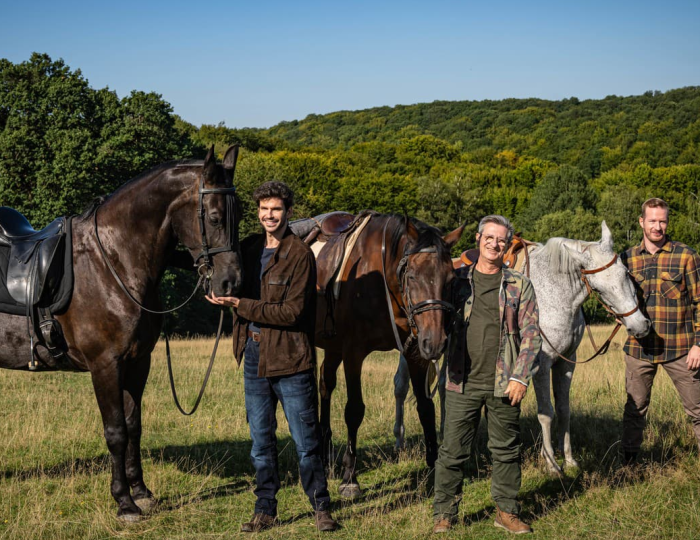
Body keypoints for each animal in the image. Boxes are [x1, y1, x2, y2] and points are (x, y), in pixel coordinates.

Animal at [0, 146, 243, 520]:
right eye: (215, 217)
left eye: (241, 214)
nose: (230, 283)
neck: (113, 261)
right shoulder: (106, 365)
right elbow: (115, 431)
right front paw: (124, 502)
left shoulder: (138, 362)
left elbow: (134, 426)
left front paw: (141, 491)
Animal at [314, 212, 464, 498]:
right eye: (412, 276)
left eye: (451, 278)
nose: (437, 342)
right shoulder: (353, 352)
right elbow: (354, 410)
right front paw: (350, 477)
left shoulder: (415, 350)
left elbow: (425, 407)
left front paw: (433, 462)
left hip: (332, 346)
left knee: (325, 384)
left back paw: (325, 452)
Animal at [394, 221, 652, 474]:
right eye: (598, 287)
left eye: (626, 273)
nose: (640, 325)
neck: (555, 294)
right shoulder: (541, 364)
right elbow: (546, 412)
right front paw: (551, 463)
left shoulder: (566, 362)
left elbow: (564, 410)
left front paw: (569, 460)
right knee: (401, 386)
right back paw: (400, 441)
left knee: (443, 388)